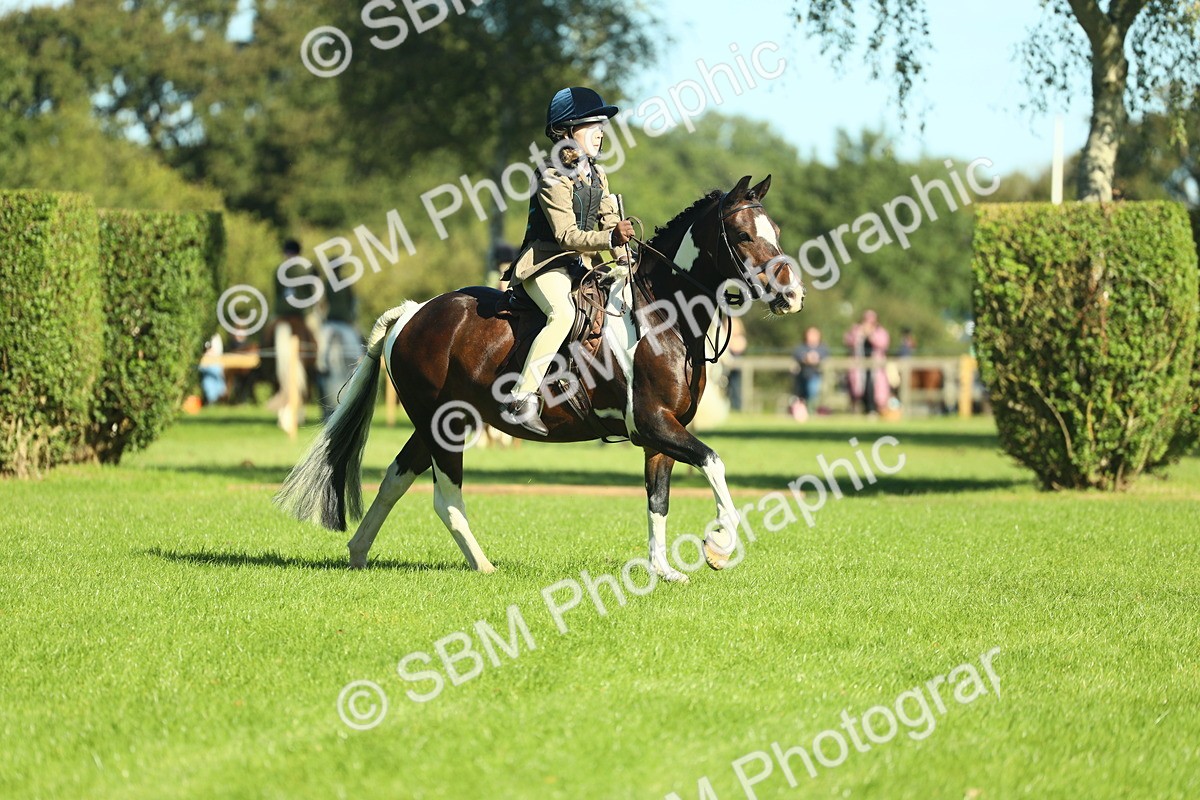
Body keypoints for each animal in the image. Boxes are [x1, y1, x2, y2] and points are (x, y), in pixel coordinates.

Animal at [275, 175, 804, 582]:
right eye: (742, 235)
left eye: (776, 230)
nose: (792, 295)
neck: (661, 314)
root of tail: (413, 313)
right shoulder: (654, 423)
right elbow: (714, 463)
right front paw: (719, 545)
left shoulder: (662, 433)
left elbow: (658, 499)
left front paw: (662, 569)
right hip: (444, 427)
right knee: (445, 498)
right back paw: (484, 566)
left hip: (433, 426)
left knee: (395, 479)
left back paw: (359, 553)